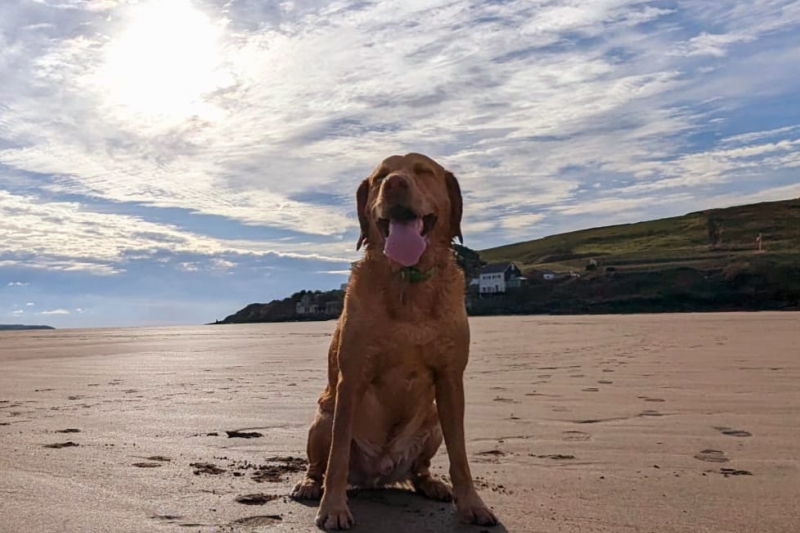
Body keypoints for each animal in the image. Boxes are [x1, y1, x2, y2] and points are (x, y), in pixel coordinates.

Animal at [290, 153, 496, 528]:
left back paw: (432, 484)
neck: (407, 279)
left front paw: (472, 504)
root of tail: (378, 474)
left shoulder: (450, 378)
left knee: (419, 467)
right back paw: (311, 485)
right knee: (320, 463)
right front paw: (333, 508)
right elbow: (337, 457)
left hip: (432, 424)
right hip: (323, 418)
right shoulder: (351, 378)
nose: (395, 183)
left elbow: (459, 454)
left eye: (424, 171)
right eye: (379, 178)